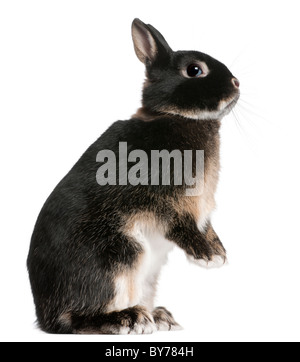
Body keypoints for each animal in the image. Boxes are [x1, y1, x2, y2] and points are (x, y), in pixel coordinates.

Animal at [27, 17, 239, 334]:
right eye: (194, 70)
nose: (236, 83)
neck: (174, 115)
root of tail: (43, 315)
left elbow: (206, 226)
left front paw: (219, 250)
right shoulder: (163, 201)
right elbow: (179, 223)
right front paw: (208, 256)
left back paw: (159, 316)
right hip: (118, 253)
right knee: (75, 319)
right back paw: (130, 318)